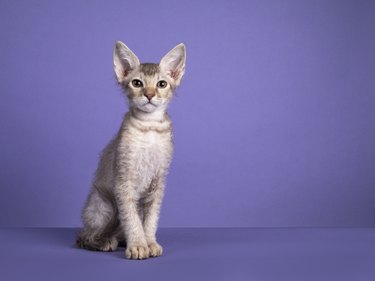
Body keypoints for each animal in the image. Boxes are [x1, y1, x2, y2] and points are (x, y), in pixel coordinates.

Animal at [76, 40, 187, 260]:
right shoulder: (123, 181)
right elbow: (132, 218)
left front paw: (149, 242)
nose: (150, 95)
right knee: (85, 236)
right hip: (104, 205)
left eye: (162, 84)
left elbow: (150, 219)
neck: (149, 127)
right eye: (137, 83)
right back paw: (104, 242)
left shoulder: (158, 182)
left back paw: (120, 239)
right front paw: (138, 245)